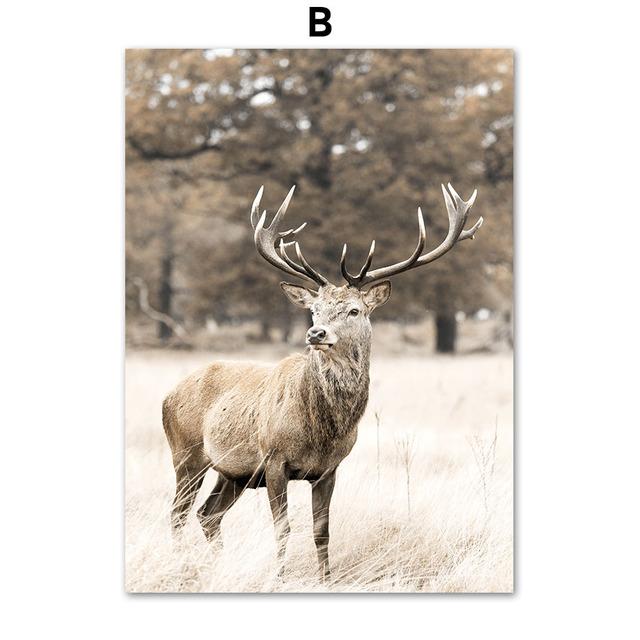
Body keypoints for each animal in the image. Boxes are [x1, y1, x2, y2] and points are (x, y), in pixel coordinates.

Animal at [162, 183, 482, 579]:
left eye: (354, 310)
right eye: (314, 310)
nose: (316, 333)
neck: (322, 431)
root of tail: (169, 394)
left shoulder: (329, 469)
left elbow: (321, 530)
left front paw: (326, 579)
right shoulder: (274, 459)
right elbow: (283, 527)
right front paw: (279, 577)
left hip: (233, 472)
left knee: (207, 514)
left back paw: (219, 566)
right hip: (186, 452)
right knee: (178, 513)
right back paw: (180, 565)